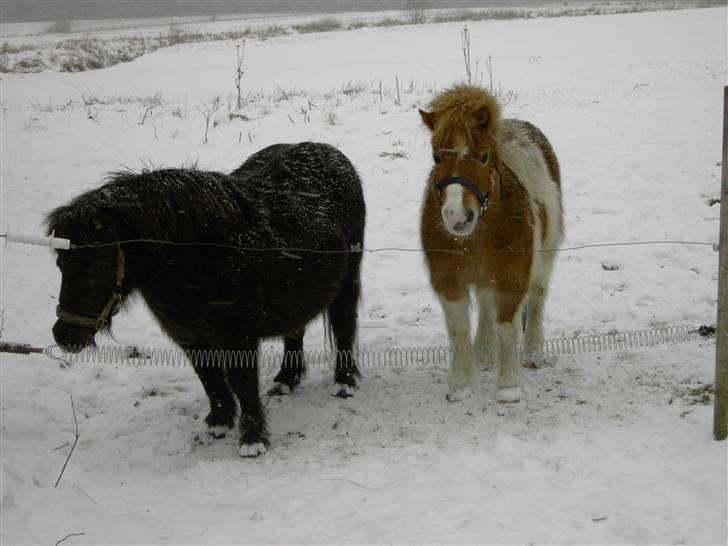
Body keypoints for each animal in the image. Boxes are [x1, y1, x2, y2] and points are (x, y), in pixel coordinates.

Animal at [44, 142, 364, 456]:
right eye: (60, 262)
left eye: (98, 263)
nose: (65, 336)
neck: (200, 258)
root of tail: (329, 151)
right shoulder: (188, 334)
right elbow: (208, 376)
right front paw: (219, 422)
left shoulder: (238, 335)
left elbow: (241, 380)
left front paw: (252, 440)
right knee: (295, 330)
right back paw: (287, 379)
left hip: (347, 280)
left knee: (344, 323)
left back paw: (344, 382)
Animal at [418, 84, 564, 400]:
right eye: (436, 158)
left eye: (484, 157)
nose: (457, 216)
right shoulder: (449, 281)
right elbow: (459, 329)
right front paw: (461, 385)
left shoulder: (513, 277)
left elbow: (507, 327)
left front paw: (509, 387)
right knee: (486, 305)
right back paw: (483, 354)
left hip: (544, 257)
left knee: (537, 298)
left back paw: (533, 352)